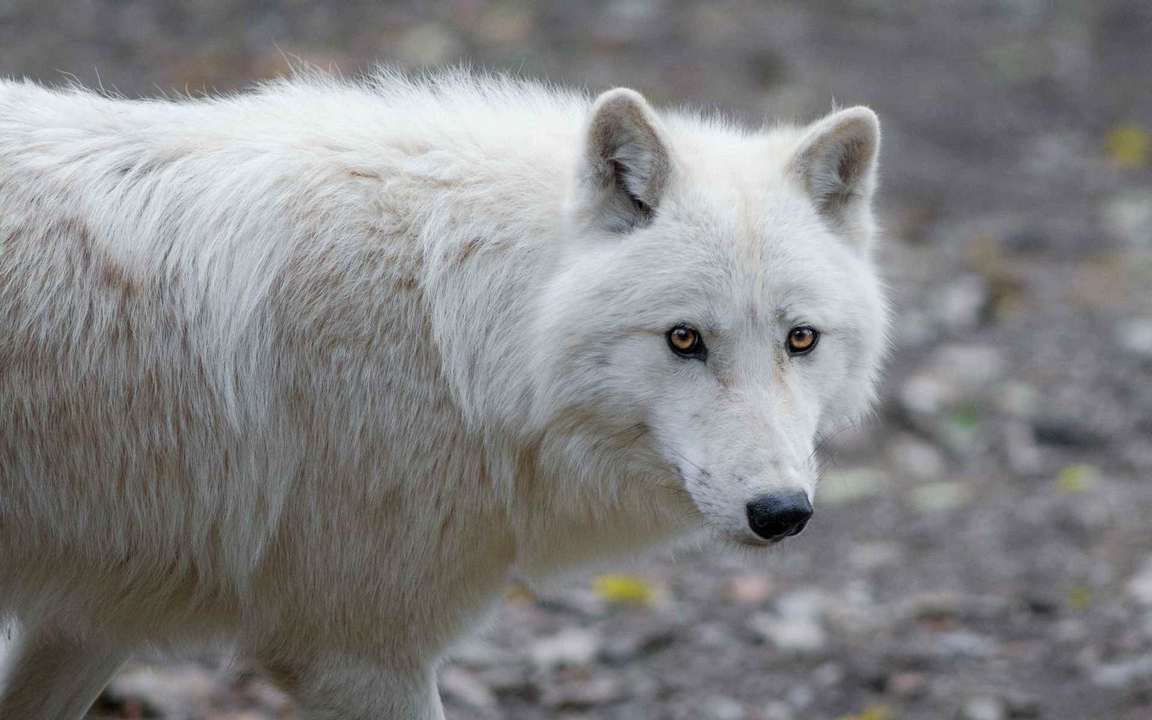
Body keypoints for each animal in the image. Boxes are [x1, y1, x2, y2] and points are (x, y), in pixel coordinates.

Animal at [0, 68, 889, 718]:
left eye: (800, 339)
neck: (455, 334)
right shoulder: (358, 655)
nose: (781, 512)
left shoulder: (91, 616)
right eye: (684, 340)